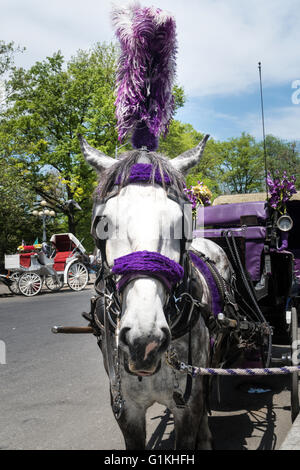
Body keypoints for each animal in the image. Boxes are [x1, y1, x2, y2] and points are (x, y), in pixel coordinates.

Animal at [79, 134, 232, 450]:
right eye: (103, 224)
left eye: (181, 223)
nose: (144, 340)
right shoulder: (126, 409)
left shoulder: (188, 406)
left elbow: (195, 417)